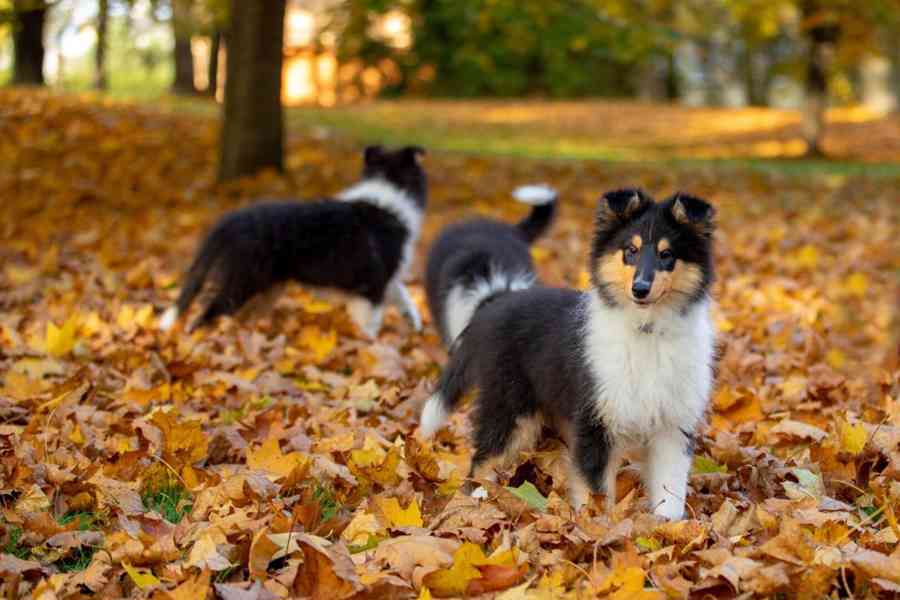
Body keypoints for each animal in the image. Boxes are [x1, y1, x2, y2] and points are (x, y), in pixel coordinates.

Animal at [158, 143, 426, 336]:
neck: (388, 185)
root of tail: (230, 221)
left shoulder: (385, 277)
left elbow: (402, 293)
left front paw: (414, 321)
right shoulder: (371, 285)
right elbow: (371, 322)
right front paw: (370, 344)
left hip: (266, 287)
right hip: (243, 279)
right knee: (209, 310)